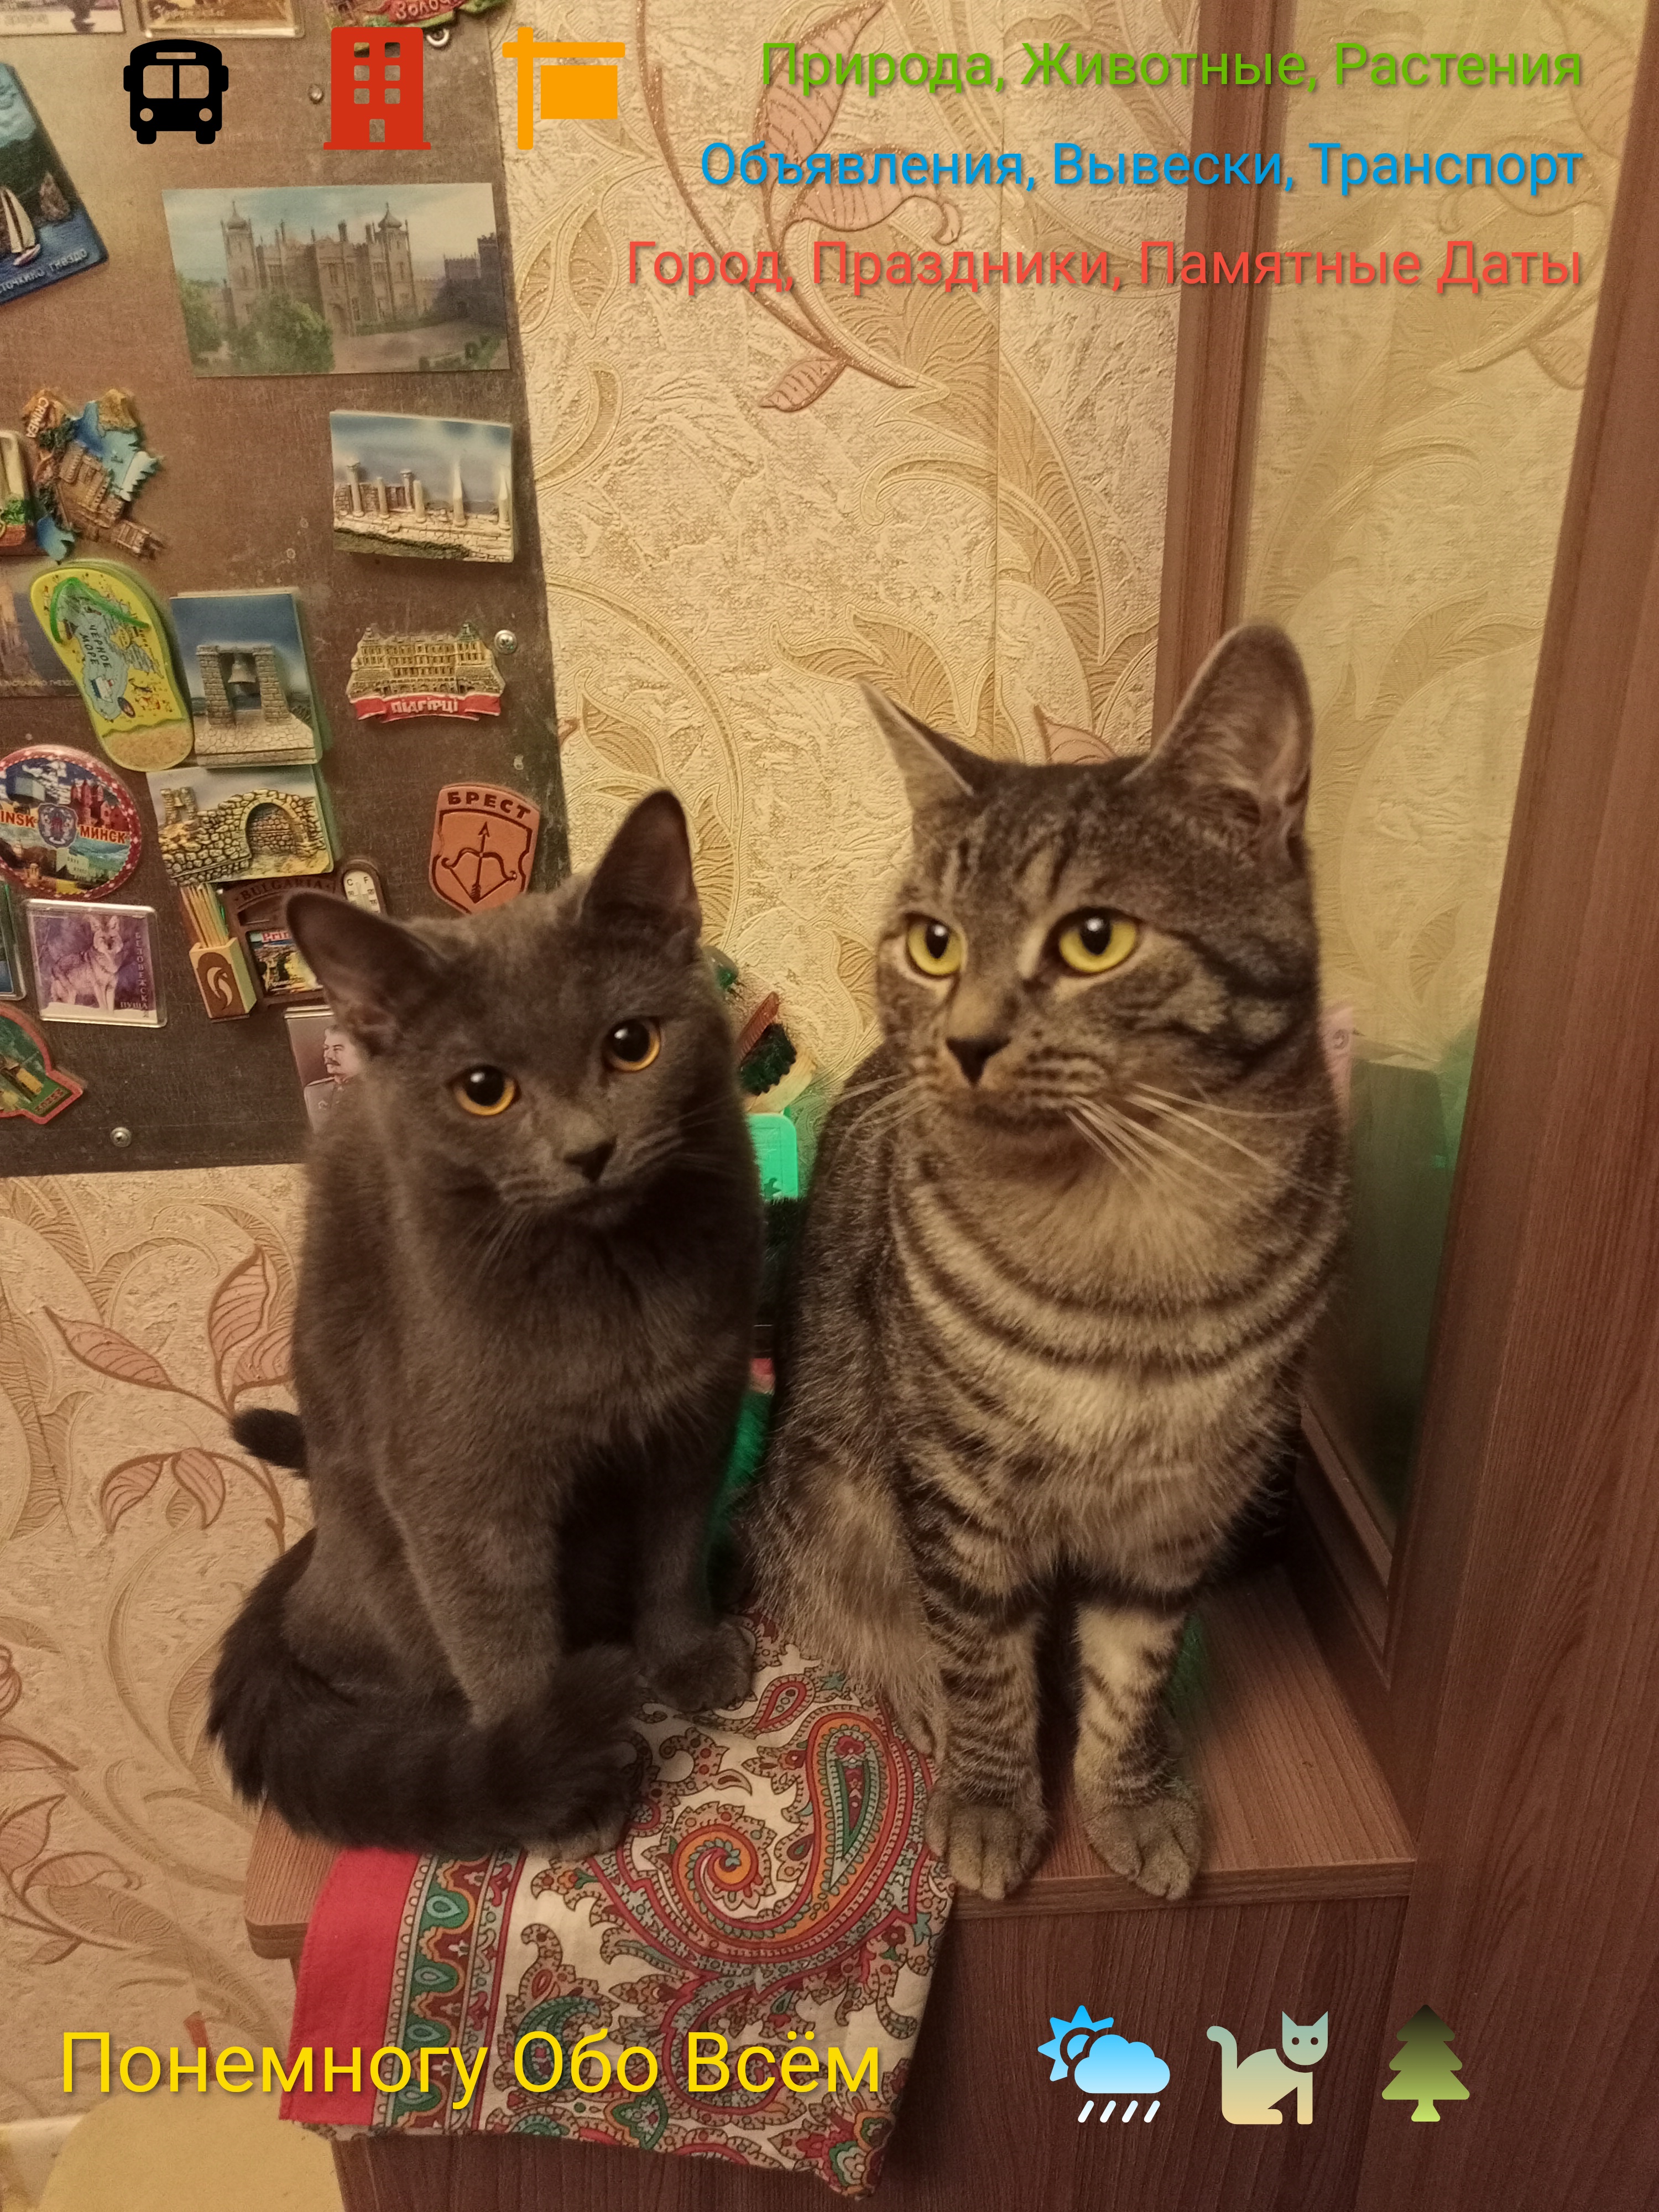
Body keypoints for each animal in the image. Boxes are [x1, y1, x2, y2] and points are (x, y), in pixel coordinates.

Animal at [208, 790, 764, 1856]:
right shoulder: (462, 1495)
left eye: (632, 1044)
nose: (589, 1150)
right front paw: (564, 1797)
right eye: (484, 1090)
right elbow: (504, 1644)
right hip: (379, 1576)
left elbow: (673, 1555)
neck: (610, 1287)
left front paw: (687, 1658)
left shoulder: (693, 1422)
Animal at [745, 625, 1346, 1901]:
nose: (965, 1039)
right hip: (828, 1501)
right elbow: (984, 1661)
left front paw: (1131, 1796)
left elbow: (1133, 1676)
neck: (1125, 1237)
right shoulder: (960, 1494)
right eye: (935, 943)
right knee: (854, 1612)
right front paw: (990, 1794)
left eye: (1093, 938)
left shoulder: (1174, 1515)